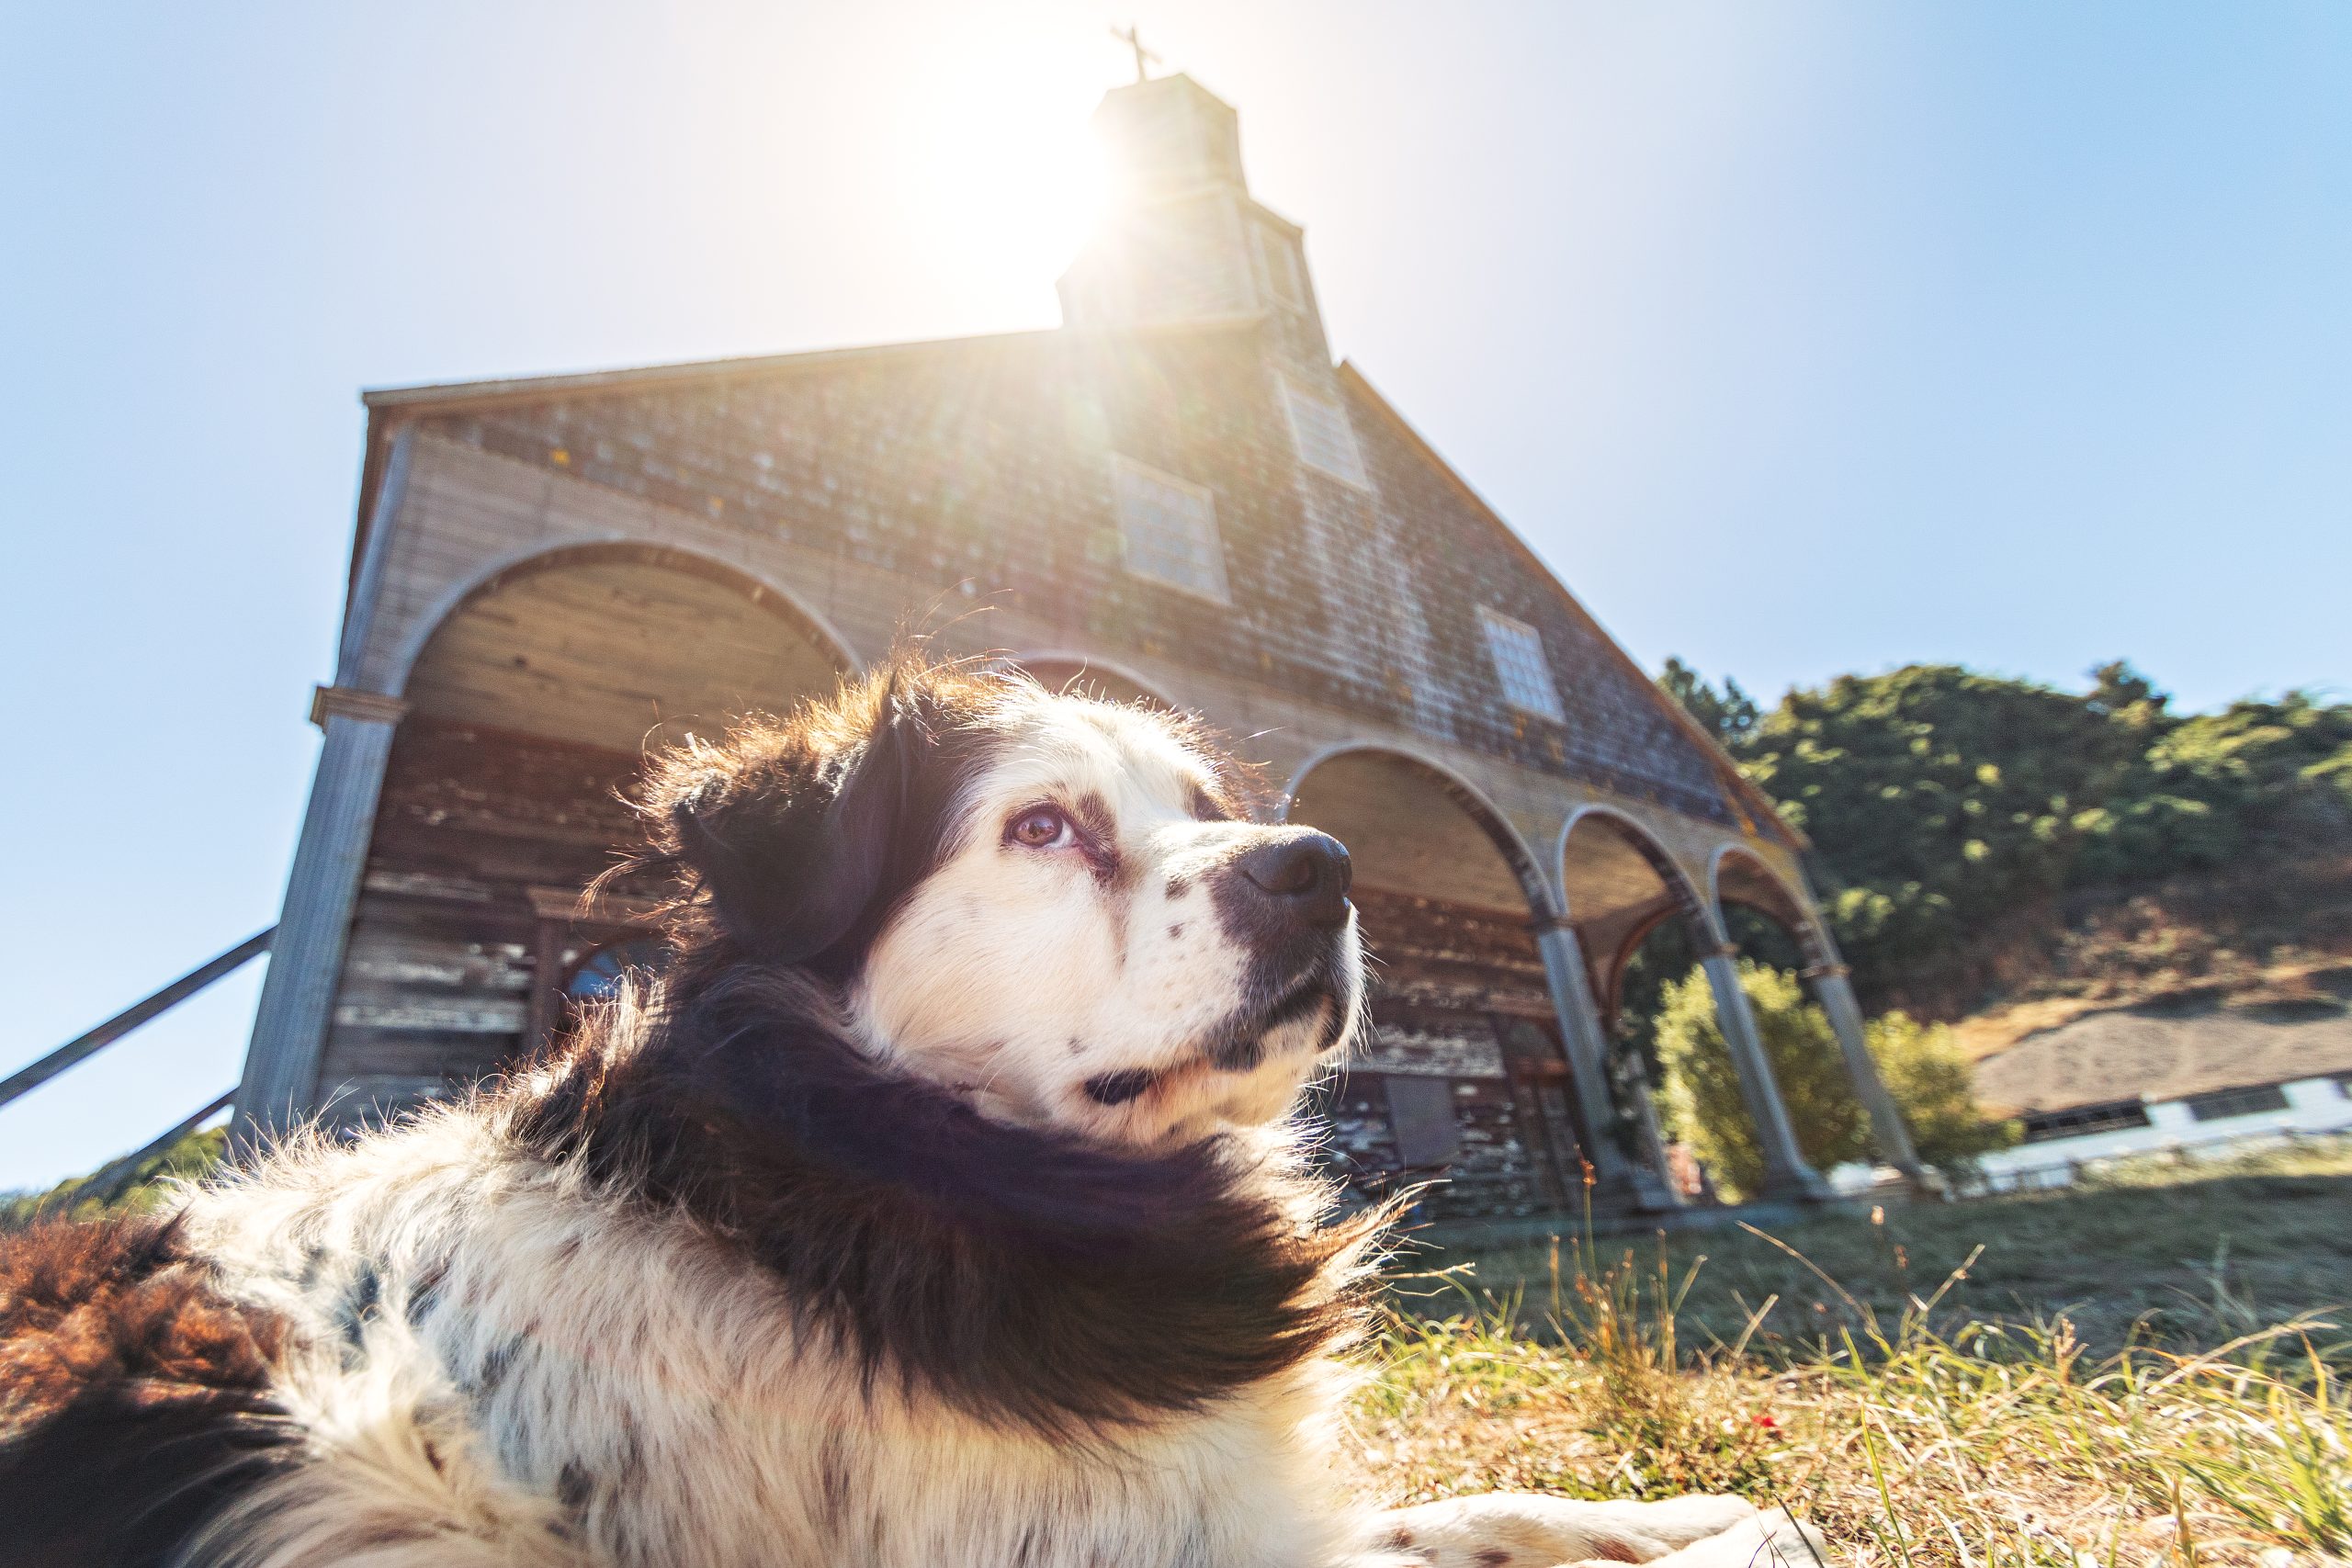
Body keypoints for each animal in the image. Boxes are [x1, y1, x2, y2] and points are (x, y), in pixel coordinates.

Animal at [0, 662, 1825, 1568]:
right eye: (1044, 826)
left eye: (1206, 809)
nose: (1324, 868)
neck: (854, 1158)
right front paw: (1724, 1535)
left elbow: (1478, 1506)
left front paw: (1668, 1511)